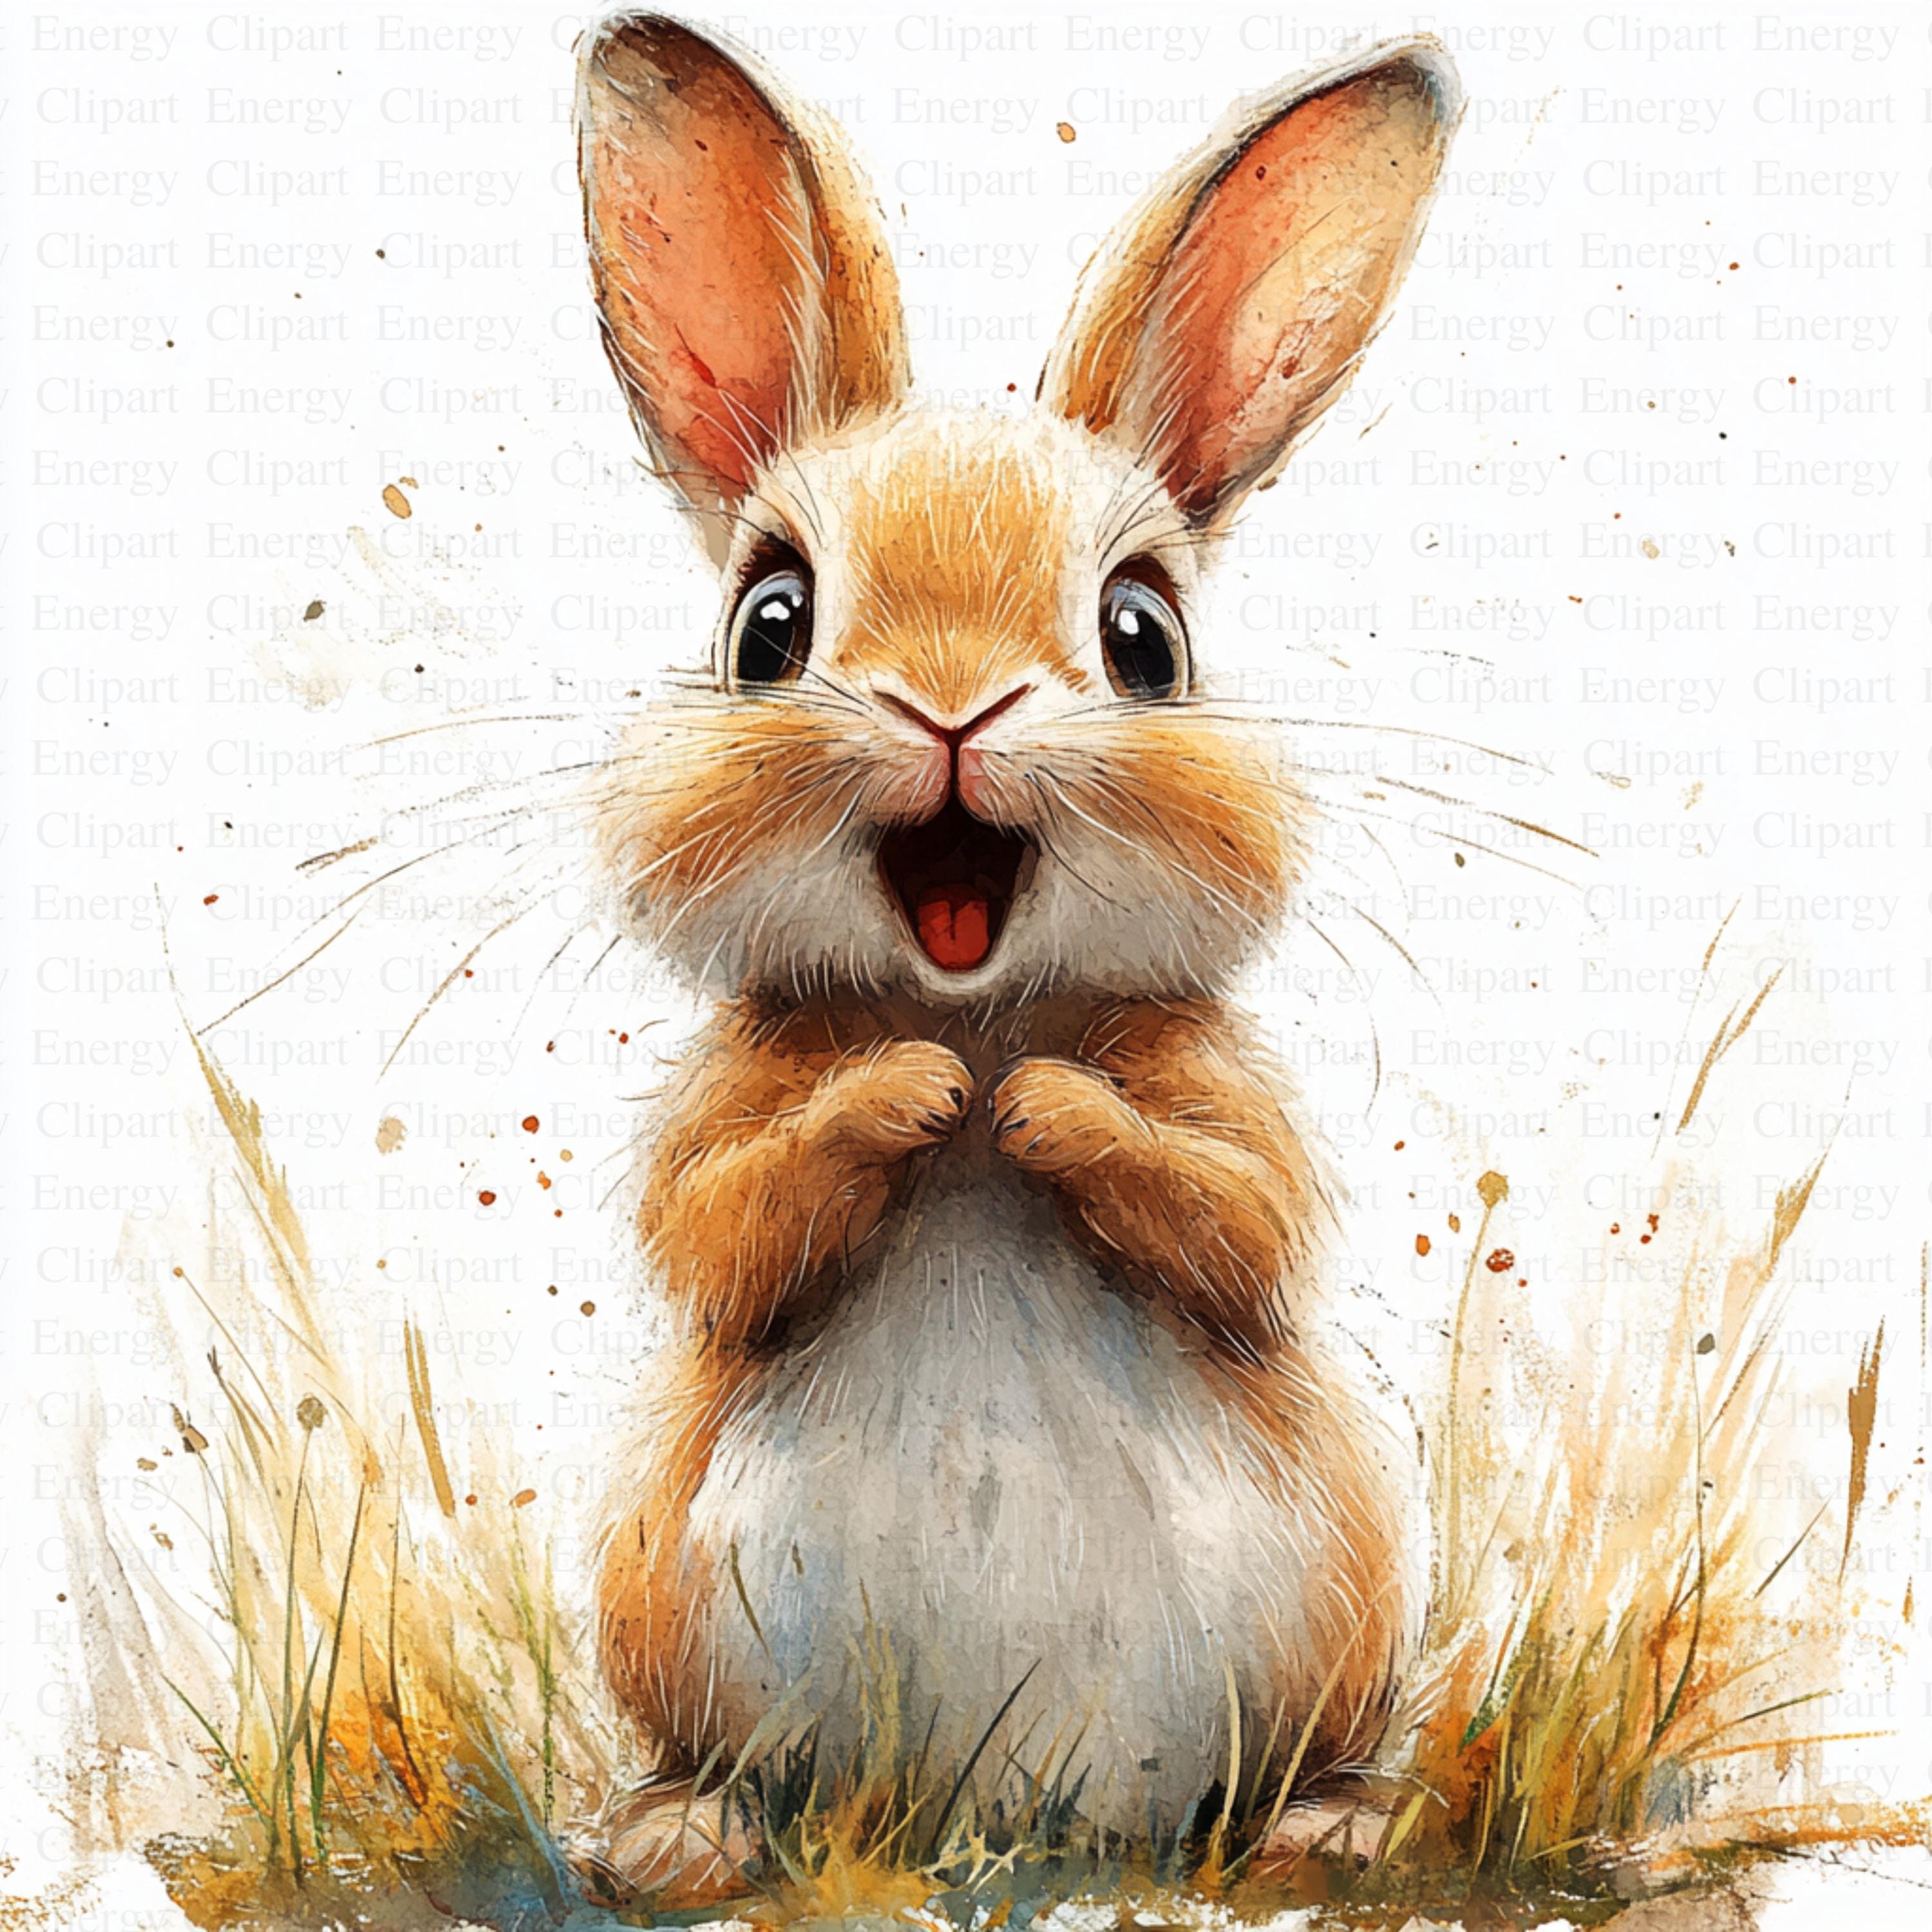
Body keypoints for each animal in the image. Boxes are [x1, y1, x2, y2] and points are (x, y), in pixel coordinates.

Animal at [574, 10, 1460, 1895]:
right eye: (768, 622)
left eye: (1145, 636)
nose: (953, 709)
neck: (980, 992)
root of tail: (1005, 1817)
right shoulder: (715, 1131)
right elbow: (731, 1225)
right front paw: (911, 1092)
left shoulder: (1240, 1121)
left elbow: (1233, 1218)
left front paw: (1037, 1109)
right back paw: (679, 1839)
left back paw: (1334, 1829)